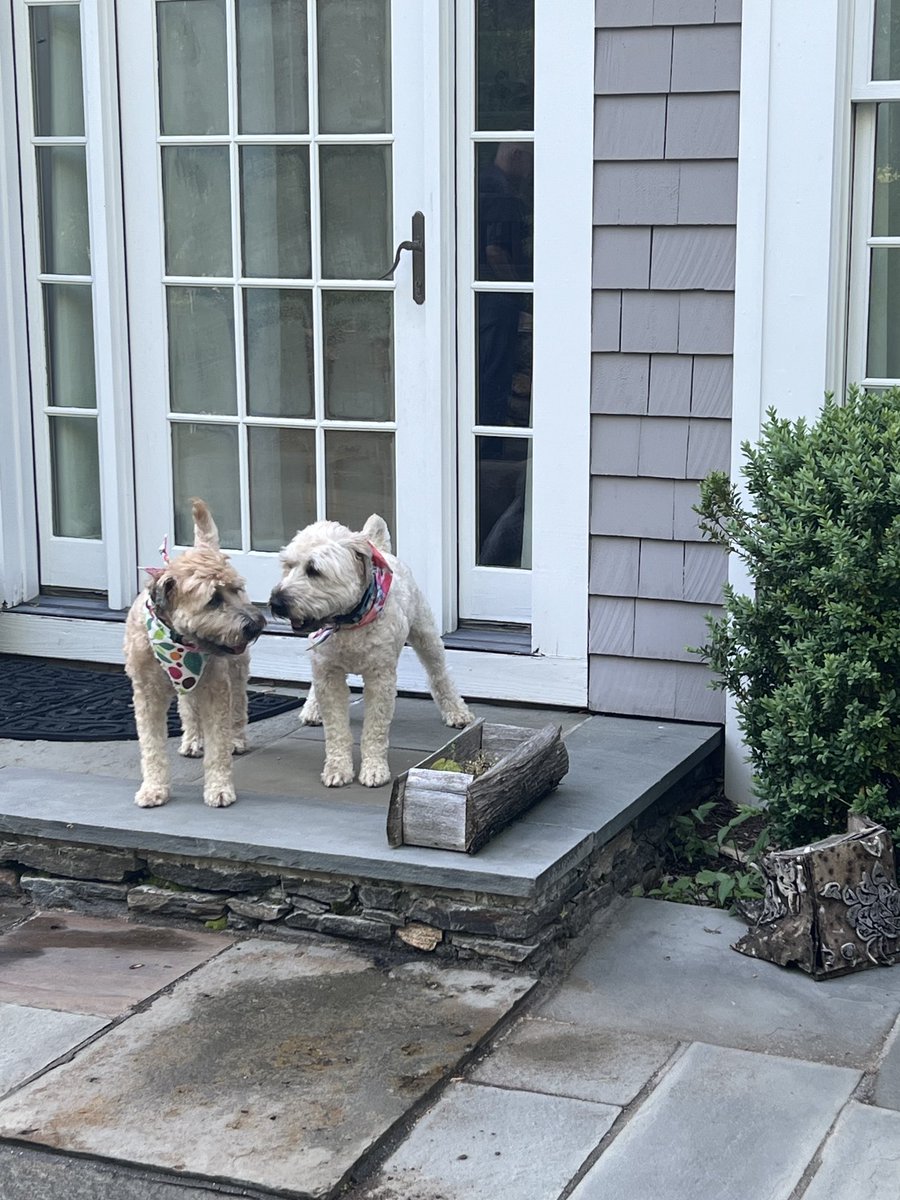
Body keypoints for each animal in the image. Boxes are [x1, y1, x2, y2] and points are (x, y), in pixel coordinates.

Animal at [126, 496, 267, 806]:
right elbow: (152, 747)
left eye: (236, 590)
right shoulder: (147, 696)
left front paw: (219, 787)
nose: (255, 625)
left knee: (238, 705)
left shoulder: (216, 689)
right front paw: (153, 788)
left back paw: (236, 738)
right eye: (213, 599)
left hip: (236, 670)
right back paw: (192, 739)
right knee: (188, 707)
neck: (178, 641)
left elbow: (219, 746)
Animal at [270, 513, 475, 787]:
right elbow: (336, 730)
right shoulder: (328, 673)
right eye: (288, 565)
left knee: (439, 674)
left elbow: (375, 730)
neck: (348, 623)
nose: (275, 602)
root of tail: (379, 546)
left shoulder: (381, 678)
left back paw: (456, 711)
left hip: (426, 635)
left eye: (314, 570)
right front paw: (337, 767)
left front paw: (374, 769)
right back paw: (313, 709)